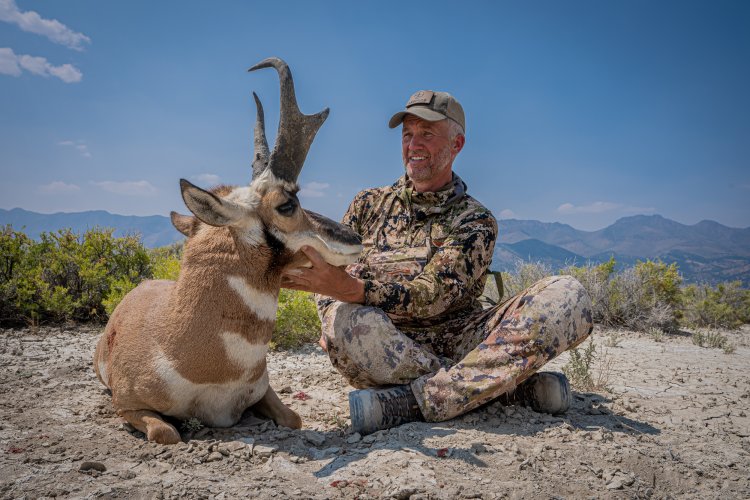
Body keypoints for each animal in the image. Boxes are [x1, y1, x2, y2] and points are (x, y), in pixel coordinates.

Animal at [93, 57, 362, 445]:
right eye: (287, 204)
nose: (355, 237)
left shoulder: (264, 391)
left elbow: (293, 418)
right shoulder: (127, 405)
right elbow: (167, 433)